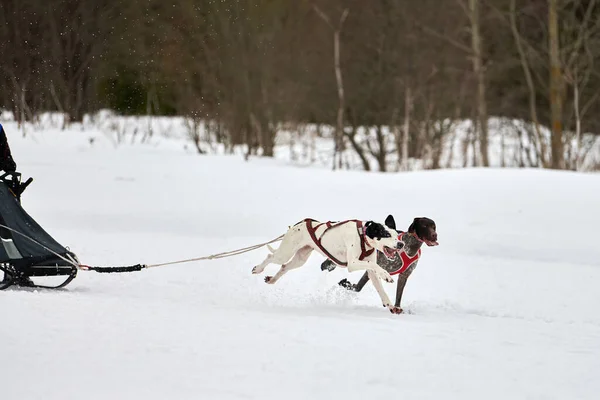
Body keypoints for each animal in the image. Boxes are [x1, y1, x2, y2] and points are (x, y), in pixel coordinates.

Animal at [251, 216, 406, 312]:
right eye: (386, 235)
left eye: (396, 235)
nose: (401, 244)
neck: (363, 236)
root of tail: (298, 224)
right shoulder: (353, 263)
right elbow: (375, 266)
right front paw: (386, 275)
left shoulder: (371, 272)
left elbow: (380, 287)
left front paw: (390, 305)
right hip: (285, 253)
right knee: (271, 257)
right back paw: (258, 269)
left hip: (300, 259)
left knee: (284, 267)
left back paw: (272, 279)